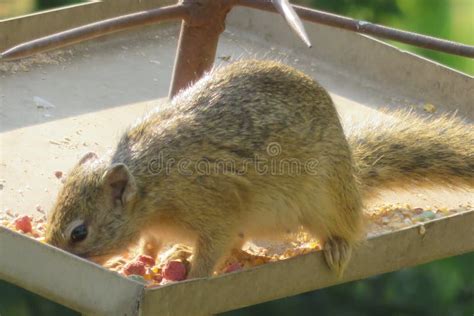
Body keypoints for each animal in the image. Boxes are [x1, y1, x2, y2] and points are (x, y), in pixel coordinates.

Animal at [43, 59, 470, 278]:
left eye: (79, 232)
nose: (52, 254)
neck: (152, 189)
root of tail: (352, 171)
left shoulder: (214, 207)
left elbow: (211, 250)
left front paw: (191, 275)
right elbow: (152, 243)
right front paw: (151, 257)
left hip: (327, 198)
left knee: (345, 226)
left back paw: (336, 245)